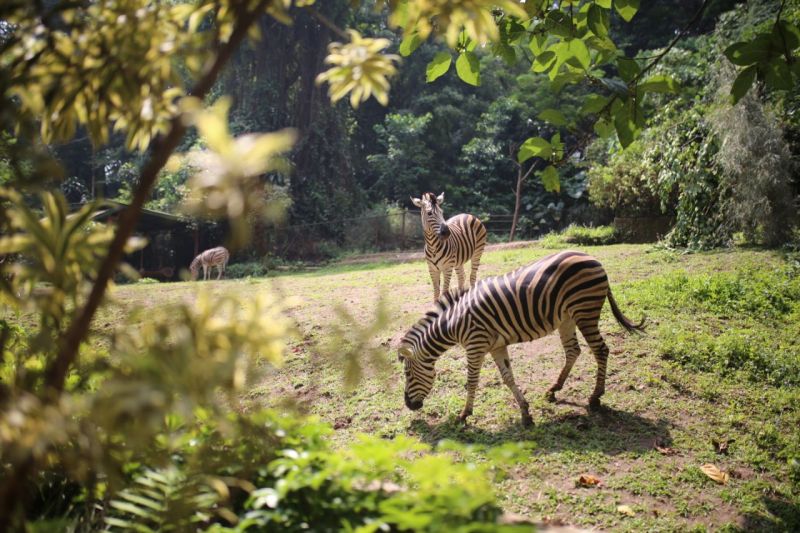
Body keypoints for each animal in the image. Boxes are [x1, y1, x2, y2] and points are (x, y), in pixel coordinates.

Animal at [396, 248, 648, 424]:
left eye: (407, 374)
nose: (408, 405)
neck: (453, 322)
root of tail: (593, 258)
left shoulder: (476, 344)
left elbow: (472, 380)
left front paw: (465, 414)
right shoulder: (495, 346)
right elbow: (508, 377)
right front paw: (526, 414)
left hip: (585, 311)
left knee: (601, 350)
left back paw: (595, 397)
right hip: (567, 317)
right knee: (573, 351)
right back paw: (554, 389)